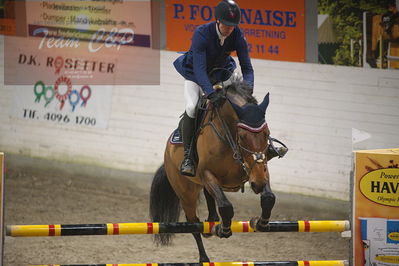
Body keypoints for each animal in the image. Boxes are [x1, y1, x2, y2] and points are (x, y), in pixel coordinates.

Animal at [148, 79, 276, 262]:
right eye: (242, 136)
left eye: (267, 133)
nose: (257, 184)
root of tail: (167, 151)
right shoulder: (207, 173)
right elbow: (226, 206)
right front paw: (223, 230)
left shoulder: (259, 170)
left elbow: (268, 197)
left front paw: (260, 223)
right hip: (186, 193)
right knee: (193, 224)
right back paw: (204, 256)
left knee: (209, 201)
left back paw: (211, 225)